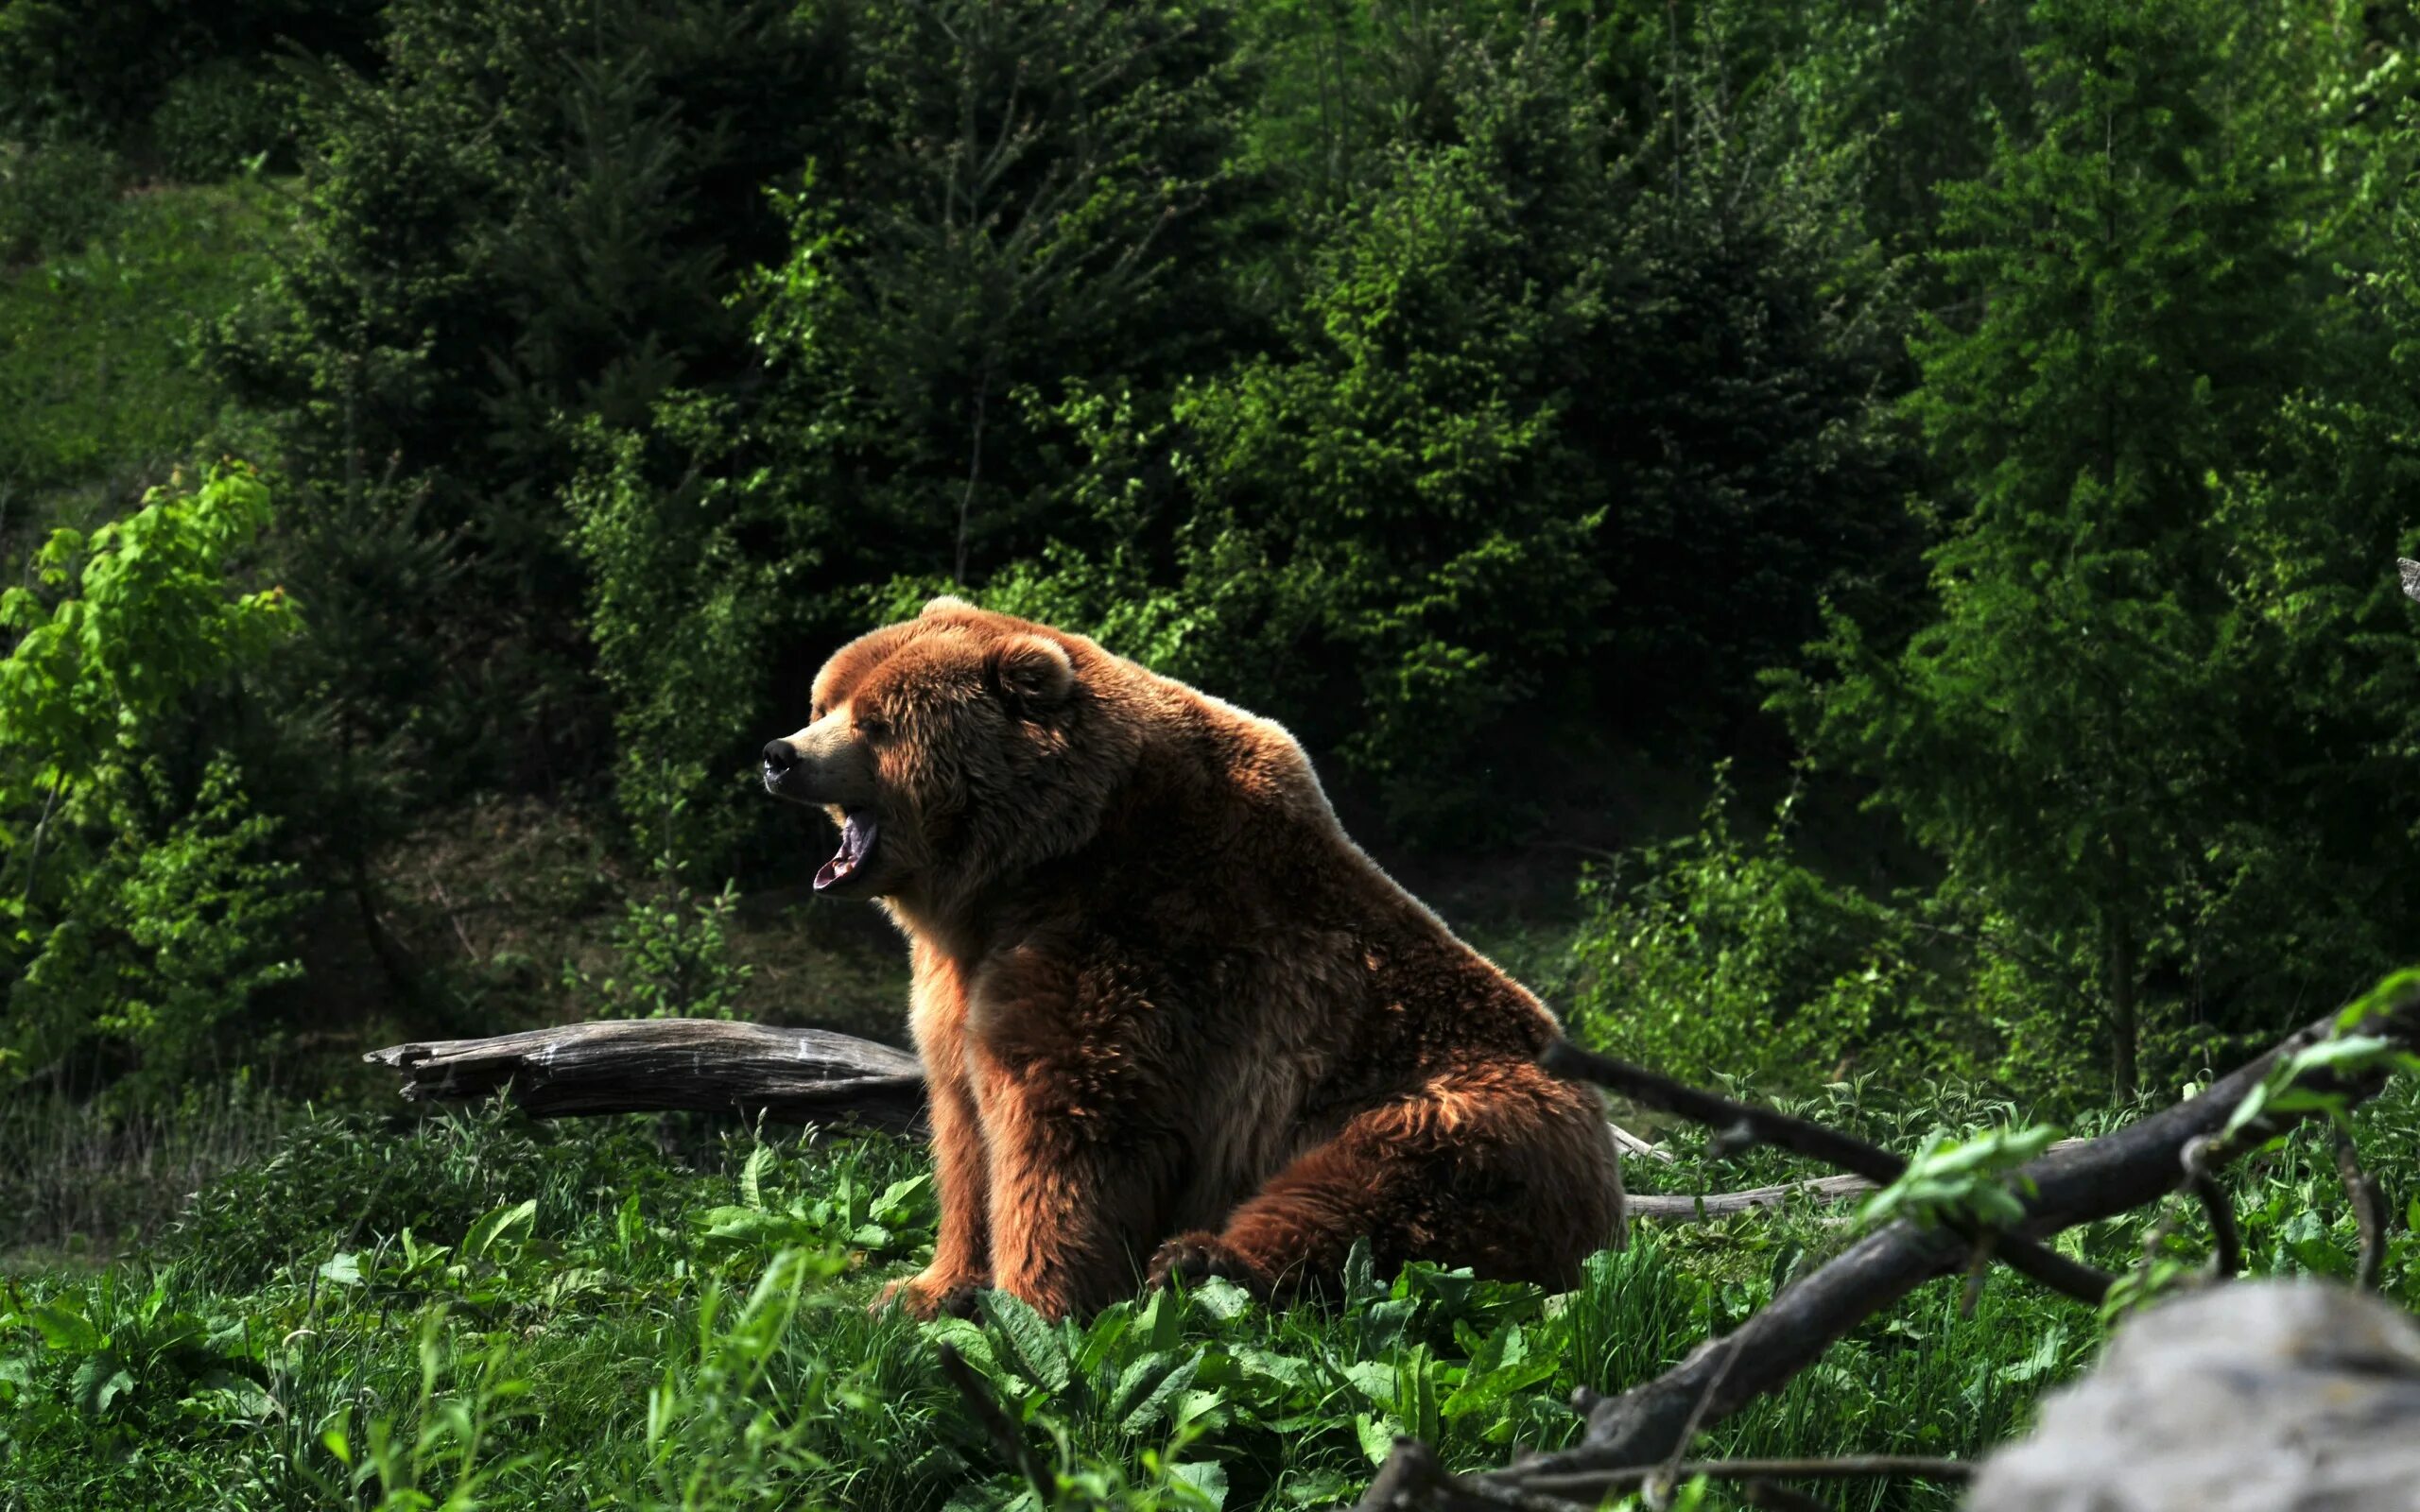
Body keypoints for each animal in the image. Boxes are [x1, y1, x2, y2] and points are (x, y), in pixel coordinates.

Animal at [759, 594, 1626, 1315]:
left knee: (1364, 1189)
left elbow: (1066, 1129)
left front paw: (1035, 1306)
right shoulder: (962, 977)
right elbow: (964, 1127)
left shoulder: (1134, 939)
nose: (779, 753)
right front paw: (924, 1288)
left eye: (876, 722)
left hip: (1459, 1109)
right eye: (827, 701)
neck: (1028, 867)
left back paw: (1202, 1261)